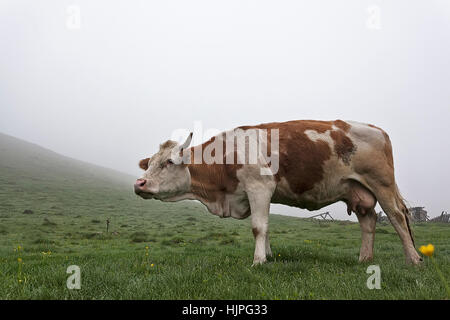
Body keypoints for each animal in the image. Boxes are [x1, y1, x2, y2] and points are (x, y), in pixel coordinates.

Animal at [134, 119, 422, 264]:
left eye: (169, 162)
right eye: (150, 163)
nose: (139, 184)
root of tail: (378, 129)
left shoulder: (259, 187)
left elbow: (258, 227)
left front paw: (258, 261)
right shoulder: (259, 193)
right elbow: (266, 226)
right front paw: (270, 255)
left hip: (382, 183)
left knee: (397, 217)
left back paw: (413, 260)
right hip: (357, 190)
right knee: (369, 221)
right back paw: (364, 258)